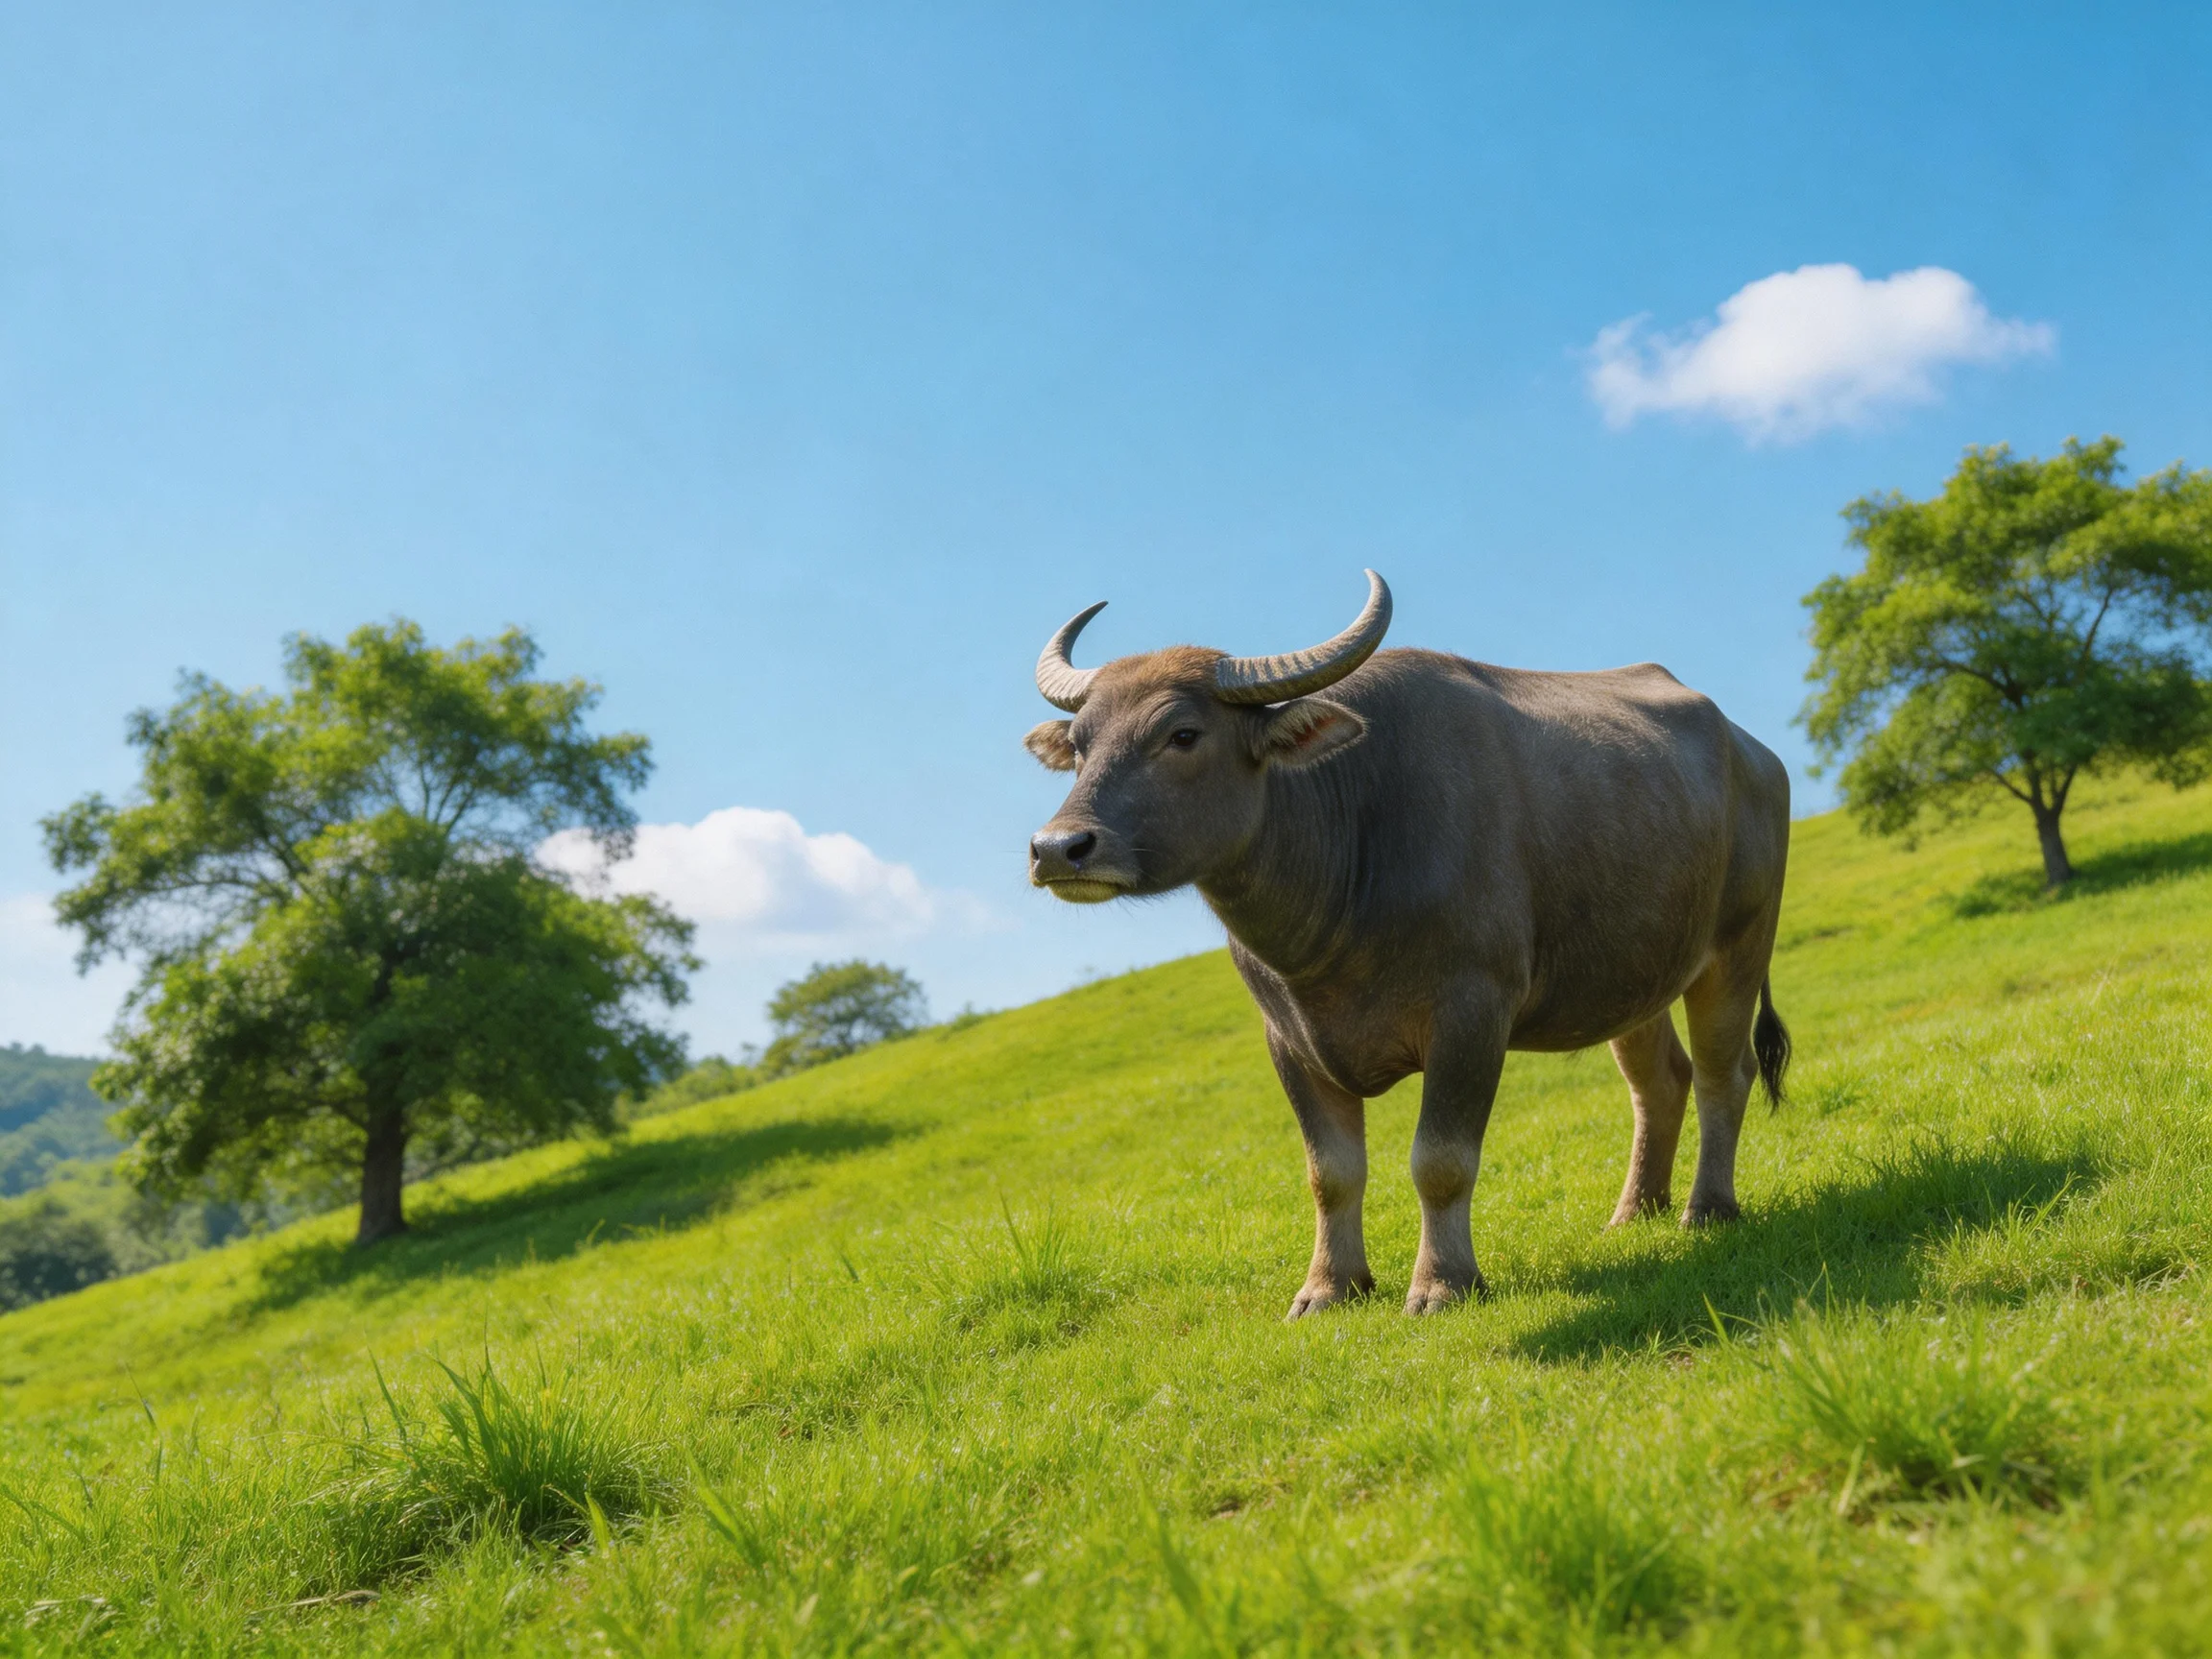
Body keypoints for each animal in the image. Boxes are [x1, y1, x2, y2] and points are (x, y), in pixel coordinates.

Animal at [1025, 572, 1792, 1318]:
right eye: (1082, 745)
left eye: (1182, 734)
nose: (1058, 847)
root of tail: (1755, 753)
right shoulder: (1288, 1040)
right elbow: (1330, 1172)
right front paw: (1329, 1286)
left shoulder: (1472, 1014)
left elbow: (1441, 1160)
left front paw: (1443, 1283)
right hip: (1633, 976)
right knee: (1660, 1081)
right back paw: (1635, 1211)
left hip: (1739, 947)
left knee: (1725, 1075)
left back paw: (1707, 1207)